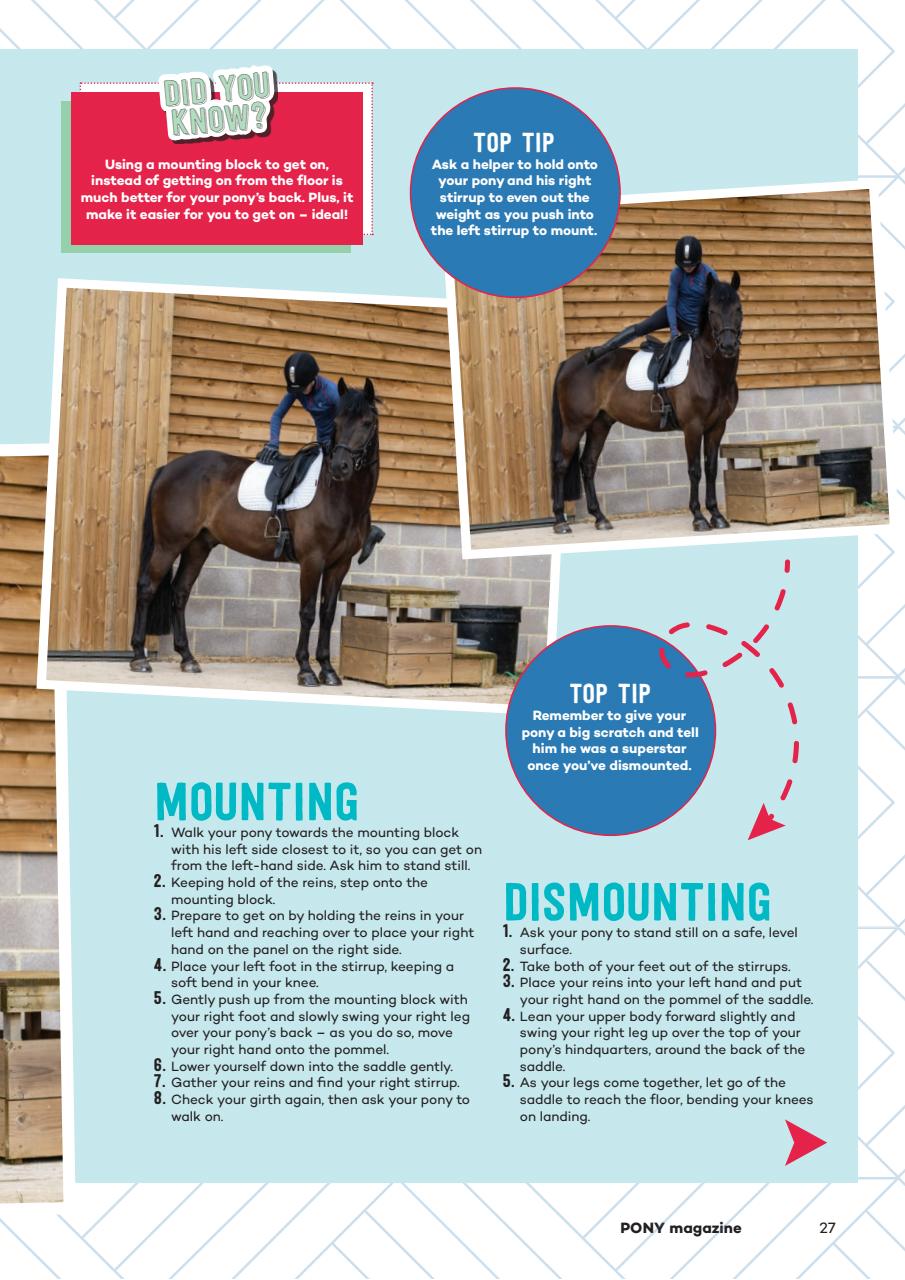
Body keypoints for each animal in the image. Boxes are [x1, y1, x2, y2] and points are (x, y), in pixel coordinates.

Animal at [130, 377, 380, 687]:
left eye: (367, 422)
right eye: (337, 421)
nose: (340, 467)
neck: (338, 496)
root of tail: (167, 469)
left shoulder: (339, 564)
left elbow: (328, 613)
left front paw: (328, 669)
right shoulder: (312, 561)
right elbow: (308, 612)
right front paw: (306, 670)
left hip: (197, 546)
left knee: (180, 593)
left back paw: (187, 658)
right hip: (168, 544)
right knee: (146, 588)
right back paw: (139, 657)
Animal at [550, 271, 742, 534]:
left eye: (738, 309)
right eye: (712, 311)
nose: (728, 346)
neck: (708, 369)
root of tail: (569, 364)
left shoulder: (717, 427)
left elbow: (712, 469)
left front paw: (717, 515)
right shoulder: (693, 427)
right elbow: (695, 470)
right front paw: (699, 518)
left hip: (600, 425)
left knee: (588, 464)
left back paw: (600, 518)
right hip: (574, 425)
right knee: (561, 464)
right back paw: (560, 521)